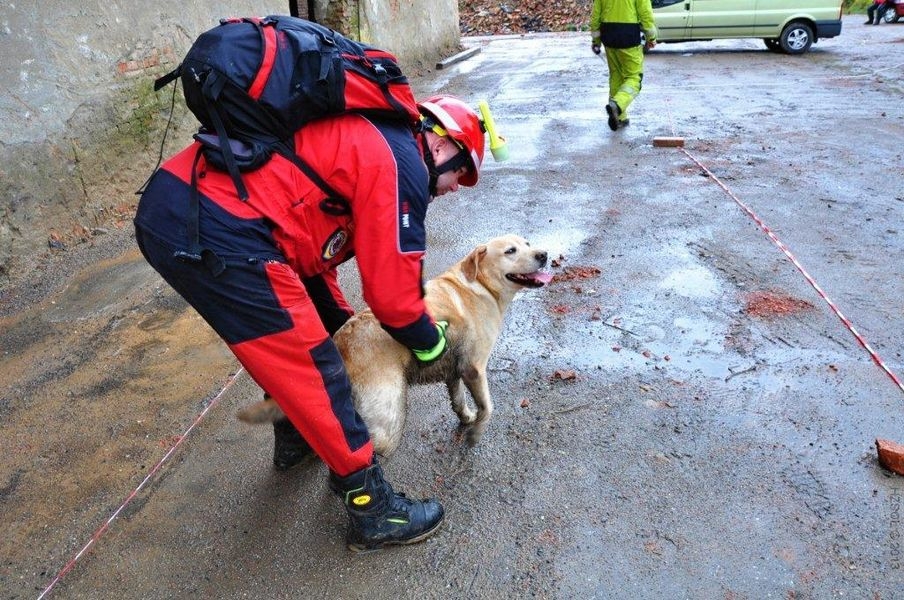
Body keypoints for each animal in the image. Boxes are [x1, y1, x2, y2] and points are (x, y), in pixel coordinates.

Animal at [237, 234, 548, 454]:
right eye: (510, 251)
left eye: (527, 243)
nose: (544, 254)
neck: (479, 285)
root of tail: (341, 343)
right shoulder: (474, 369)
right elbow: (488, 408)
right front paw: (476, 433)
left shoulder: (455, 371)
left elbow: (459, 400)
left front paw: (466, 418)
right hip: (389, 413)